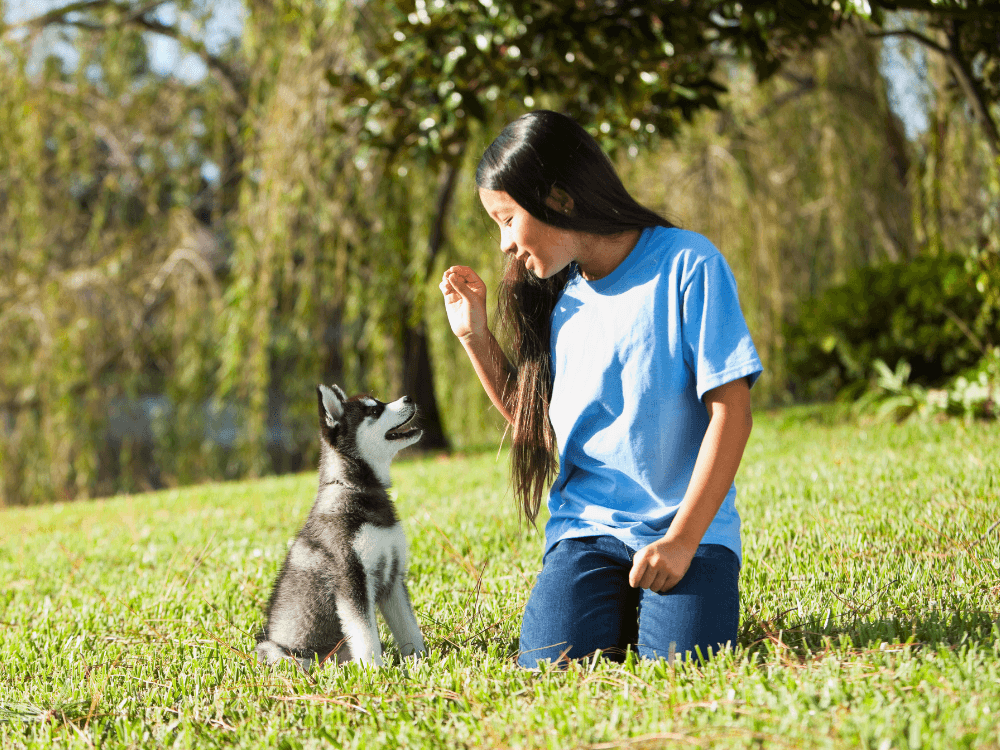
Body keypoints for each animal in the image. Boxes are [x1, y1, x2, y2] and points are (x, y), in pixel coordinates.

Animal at [254, 388, 426, 668]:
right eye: (374, 411)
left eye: (379, 402)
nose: (409, 398)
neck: (355, 489)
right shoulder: (351, 580)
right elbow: (366, 635)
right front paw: (376, 671)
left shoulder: (393, 577)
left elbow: (409, 628)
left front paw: (421, 660)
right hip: (278, 650)